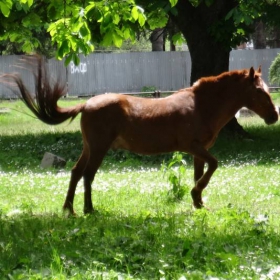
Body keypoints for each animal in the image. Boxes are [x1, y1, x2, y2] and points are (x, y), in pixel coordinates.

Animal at [3, 56, 278, 214]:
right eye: (259, 91)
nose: (274, 116)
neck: (201, 105)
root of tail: (87, 104)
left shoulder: (199, 153)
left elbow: (201, 174)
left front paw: (198, 203)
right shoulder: (193, 147)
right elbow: (214, 166)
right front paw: (195, 196)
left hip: (89, 148)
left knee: (75, 173)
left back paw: (68, 209)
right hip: (99, 148)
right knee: (88, 175)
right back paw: (89, 210)